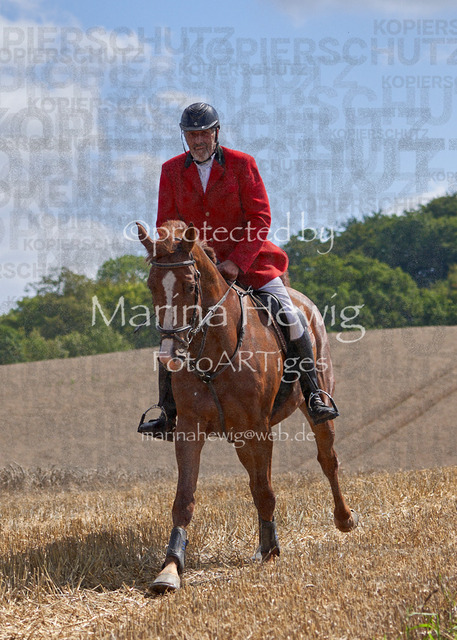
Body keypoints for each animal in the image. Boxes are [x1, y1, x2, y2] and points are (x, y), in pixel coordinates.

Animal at [137, 219, 358, 593]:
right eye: (152, 284)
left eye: (190, 284)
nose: (169, 355)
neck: (214, 350)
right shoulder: (191, 430)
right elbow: (185, 498)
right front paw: (170, 568)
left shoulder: (258, 427)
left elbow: (264, 489)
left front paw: (271, 550)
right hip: (240, 437)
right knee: (257, 475)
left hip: (312, 409)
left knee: (327, 459)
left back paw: (343, 519)